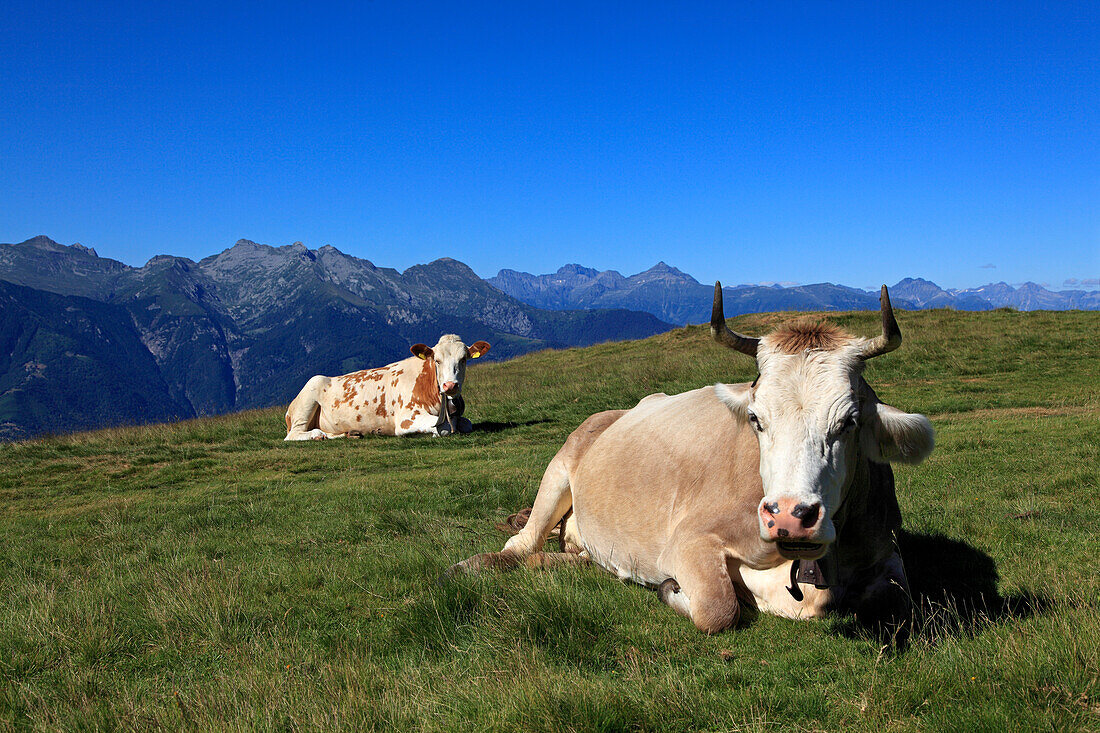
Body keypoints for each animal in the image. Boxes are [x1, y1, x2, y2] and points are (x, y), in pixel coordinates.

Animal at [283, 332, 490, 440]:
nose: (449, 385)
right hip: (310, 392)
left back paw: (349, 433)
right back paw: (316, 434)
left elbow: (466, 423)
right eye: (437, 361)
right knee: (293, 434)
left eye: (463, 359)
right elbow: (445, 428)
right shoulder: (406, 418)